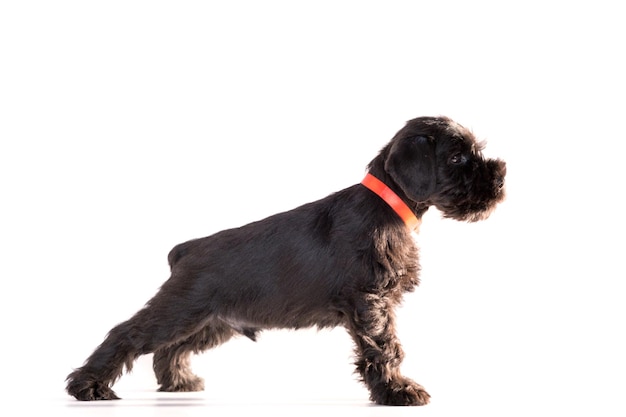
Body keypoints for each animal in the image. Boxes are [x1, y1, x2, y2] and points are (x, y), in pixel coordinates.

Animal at [66, 115, 504, 404]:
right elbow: (385, 346)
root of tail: (186, 249)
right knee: (128, 333)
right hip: (180, 310)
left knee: (169, 349)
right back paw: (87, 386)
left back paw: (178, 381)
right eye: (457, 159)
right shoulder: (371, 301)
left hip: (212, 321)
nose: (501, 177)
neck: (388, 207)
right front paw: (398, 390)